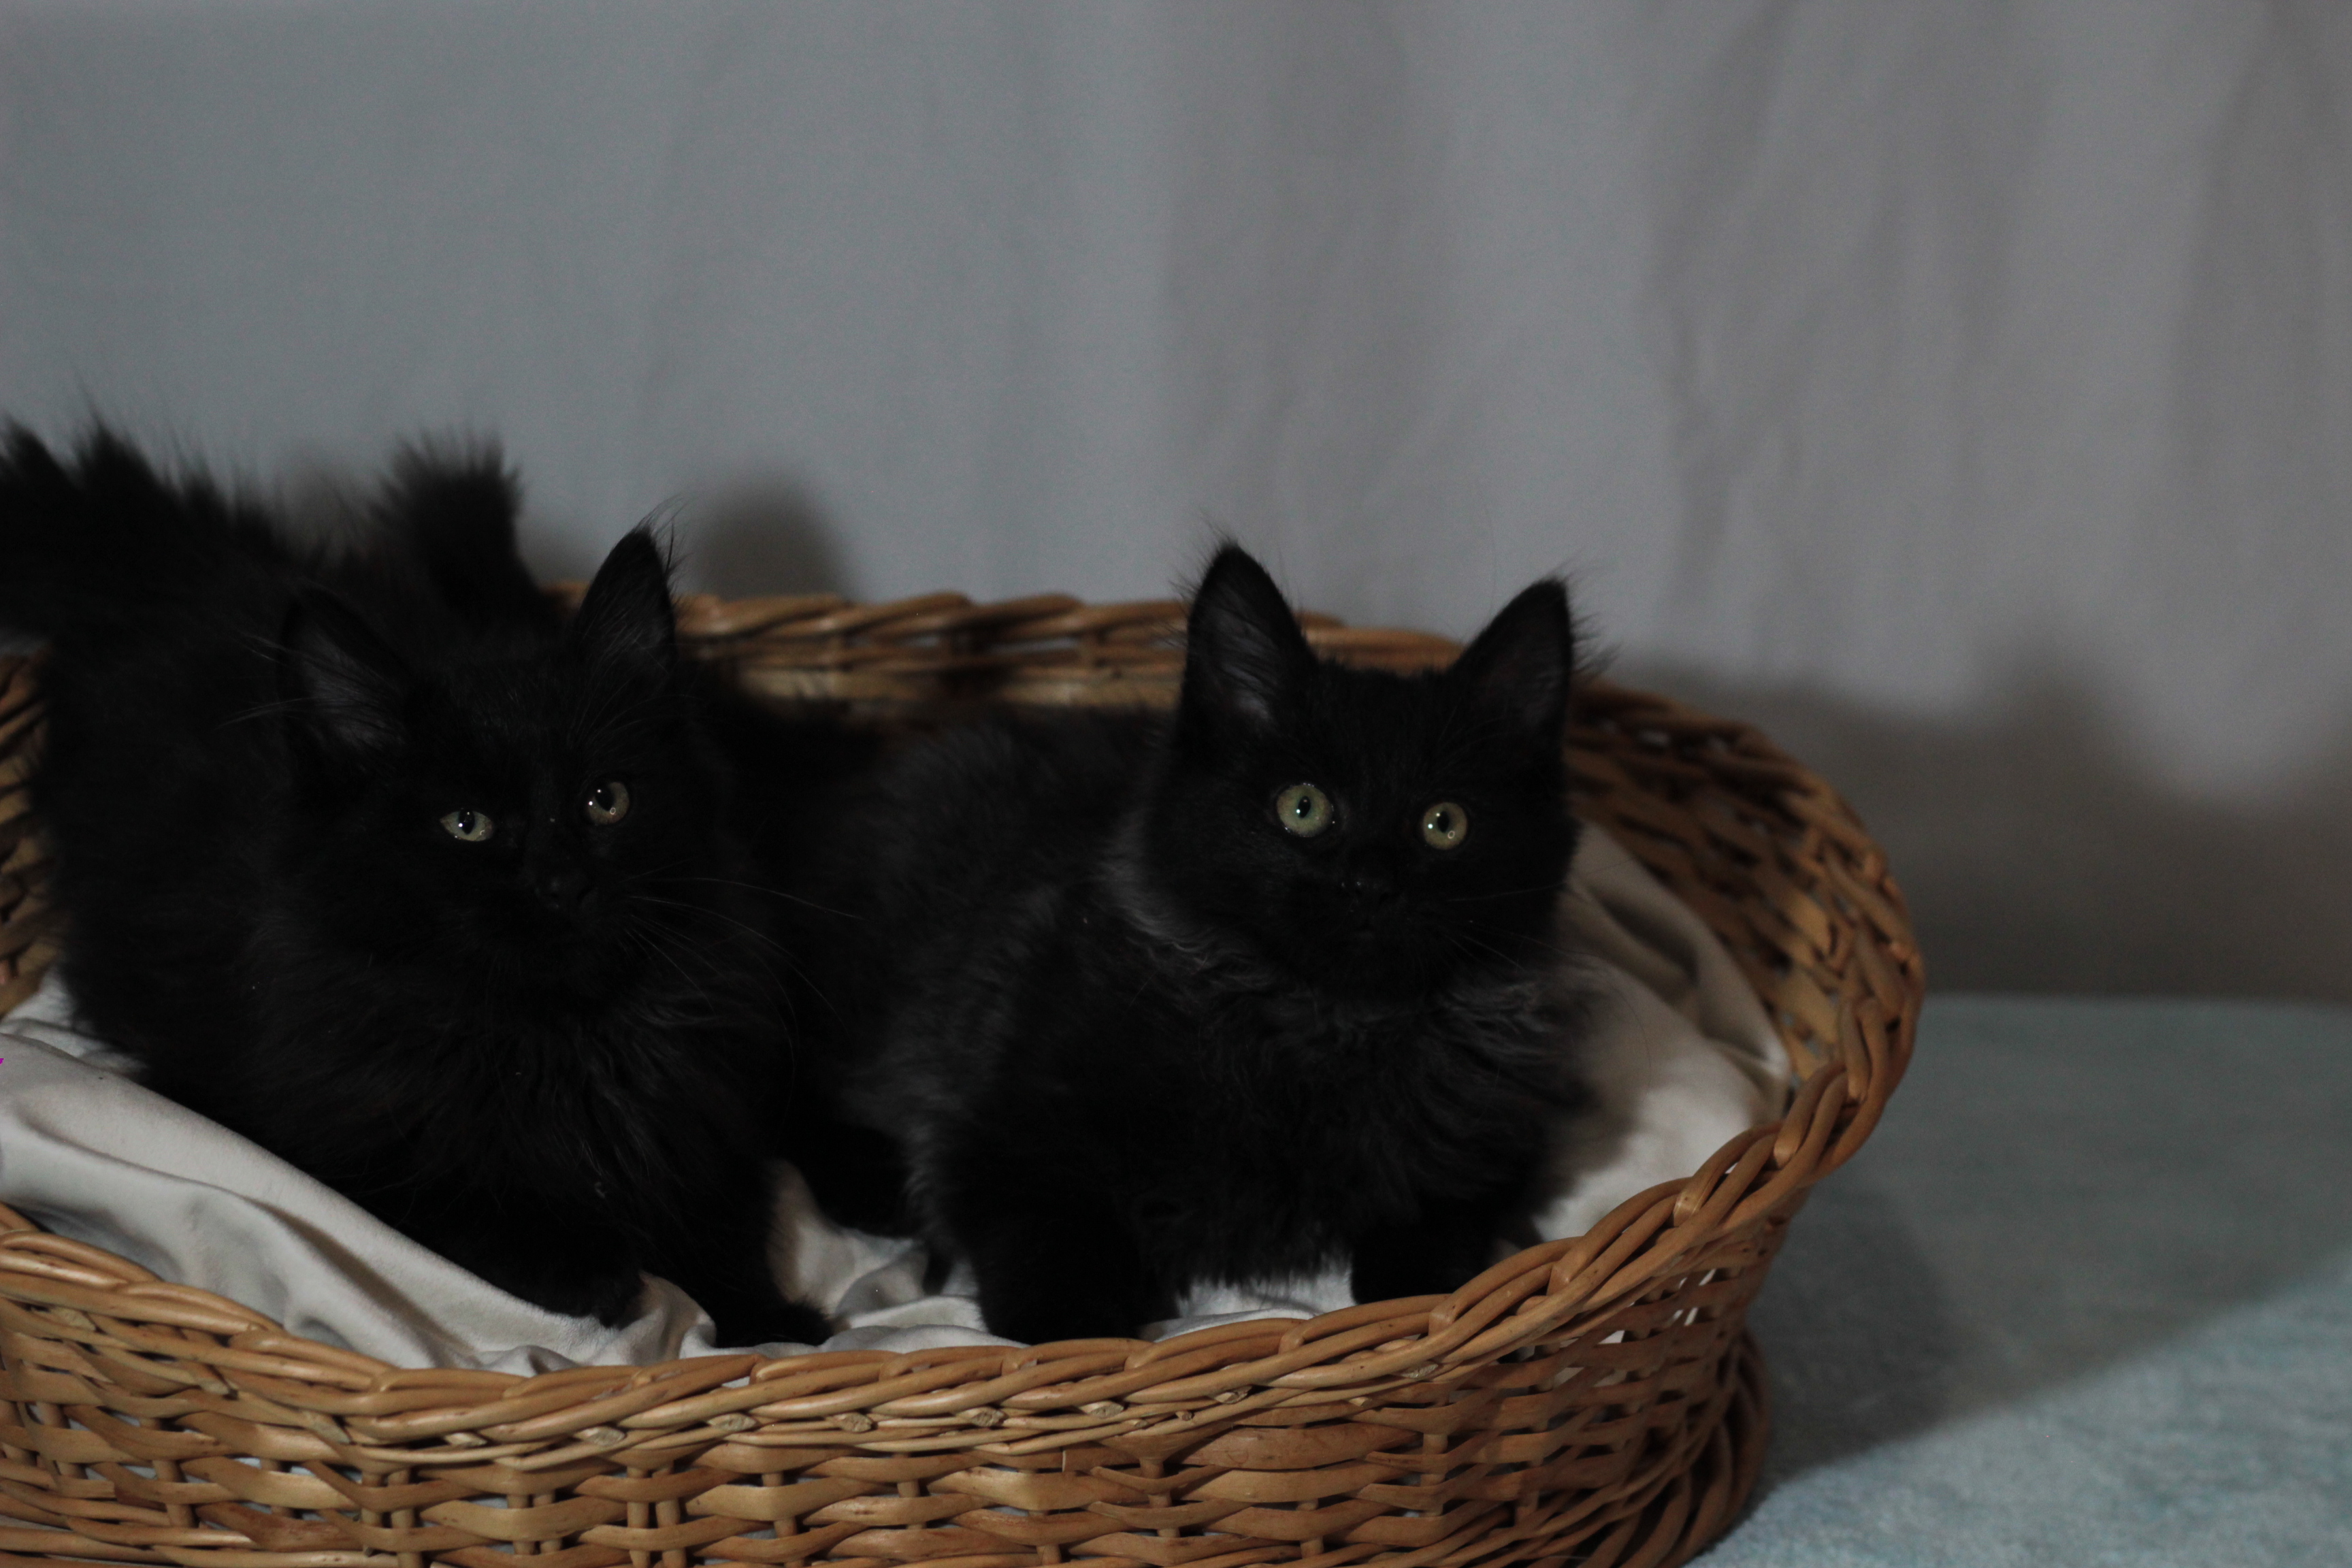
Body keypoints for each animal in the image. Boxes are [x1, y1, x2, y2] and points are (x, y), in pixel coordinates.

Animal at [0, 428, 830, 1346]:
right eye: (466, 824)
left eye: (604, 800)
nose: (562, 881)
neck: (556, 1039)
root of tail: (189, 569)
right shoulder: (298, 1135)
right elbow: (449, 1206)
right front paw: (593, 1272)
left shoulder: (708, 1122)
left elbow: (724, 1225)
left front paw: (778, 1326)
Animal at [796, 544, 1592, 1343]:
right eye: (1302, 807)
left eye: (1444, 824)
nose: (1370, 884)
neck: (1328, 1028)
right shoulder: (1001, 1135)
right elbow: (1050, 1257)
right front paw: (1088, 1337)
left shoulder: (1492, 1145)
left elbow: (1436, 1239)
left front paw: (1427, 1309)